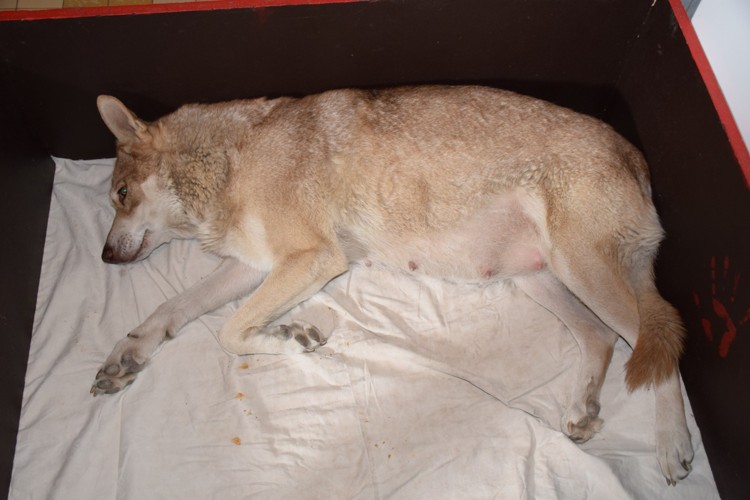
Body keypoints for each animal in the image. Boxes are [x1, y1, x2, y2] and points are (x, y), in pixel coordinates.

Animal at [92, 85, 694, 484]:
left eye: (121, 194)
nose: (103, 255)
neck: (228, 162)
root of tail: (634, 155)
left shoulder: (312, 259)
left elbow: (231, 332)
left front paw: (293, 338)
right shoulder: (254, 266)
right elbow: (174, 309)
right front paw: (127, 354)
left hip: (581, 271)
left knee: (660, 344)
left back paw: (673, 444)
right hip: (536, 277)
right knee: (601, 337)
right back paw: (584, 407)